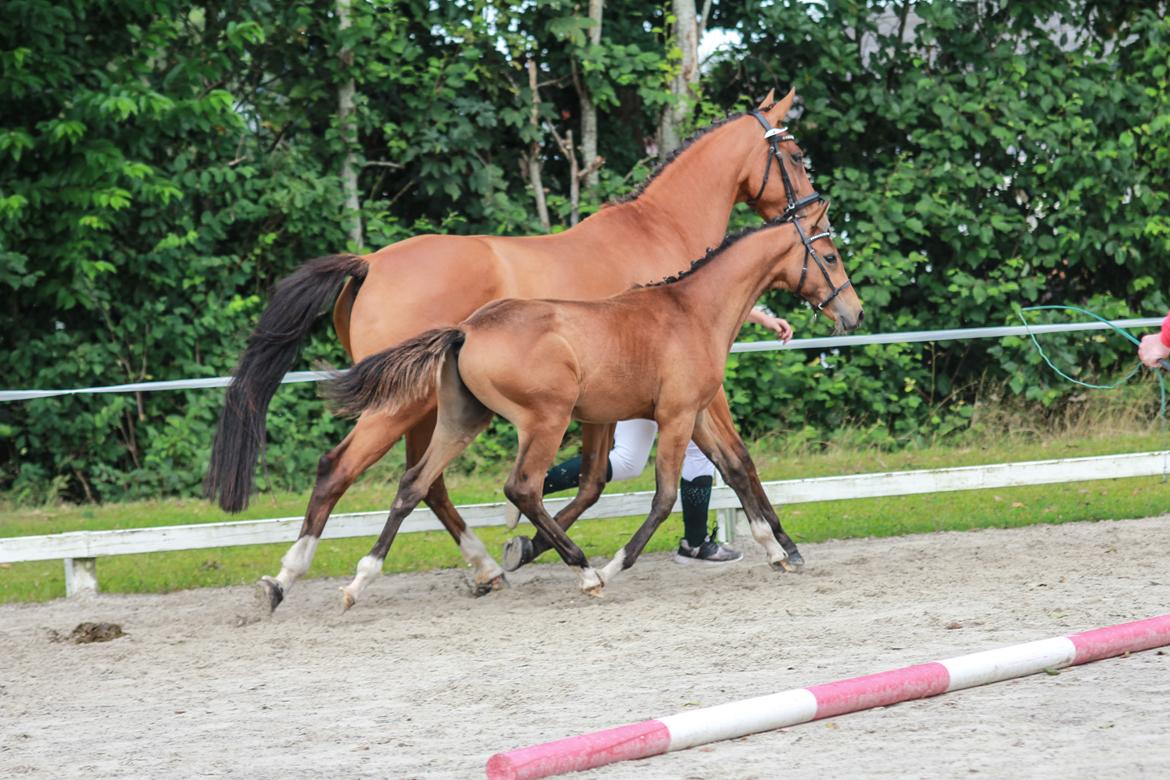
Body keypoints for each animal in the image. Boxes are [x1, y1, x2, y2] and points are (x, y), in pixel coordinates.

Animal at [325, 199, 865, 603]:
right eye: (830, 256)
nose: (854, 312)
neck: (692, 310)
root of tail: (466, 329)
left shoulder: (694, 414)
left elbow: (733, 467)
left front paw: (777, 552)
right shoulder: (675, 417)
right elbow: (664, 497)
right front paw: (613, 567)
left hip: (464, 420)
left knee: (416, 483)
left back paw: (361, 580)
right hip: (547, 419)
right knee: (522, 488)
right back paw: (582, 570)